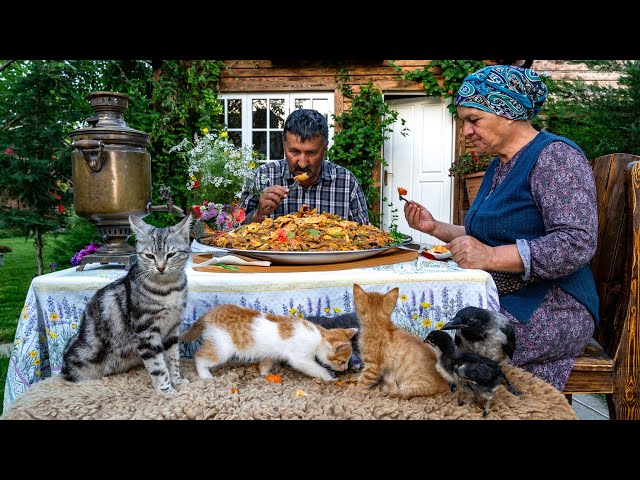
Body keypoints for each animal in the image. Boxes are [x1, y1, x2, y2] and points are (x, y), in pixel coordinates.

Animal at [62, 214, 192, 394]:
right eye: (149, 256)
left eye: (171, 254)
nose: (160, 268)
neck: (168, 289)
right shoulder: (145, 332)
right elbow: (158, 366)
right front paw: (166, 391)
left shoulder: (172, 329)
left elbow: (173, 359)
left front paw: (177, 381)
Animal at [180, 304, 358, 382]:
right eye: (342, 361)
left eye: (347, 361)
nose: (345, 368)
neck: (318, 335)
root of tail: (210, 313)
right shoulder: (300, 358)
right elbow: (316, 368)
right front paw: (329, 377)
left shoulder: (272, 353)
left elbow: (266, 362)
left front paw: (264, 373)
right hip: (221, 348)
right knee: (199, 356)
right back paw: (205, 375)